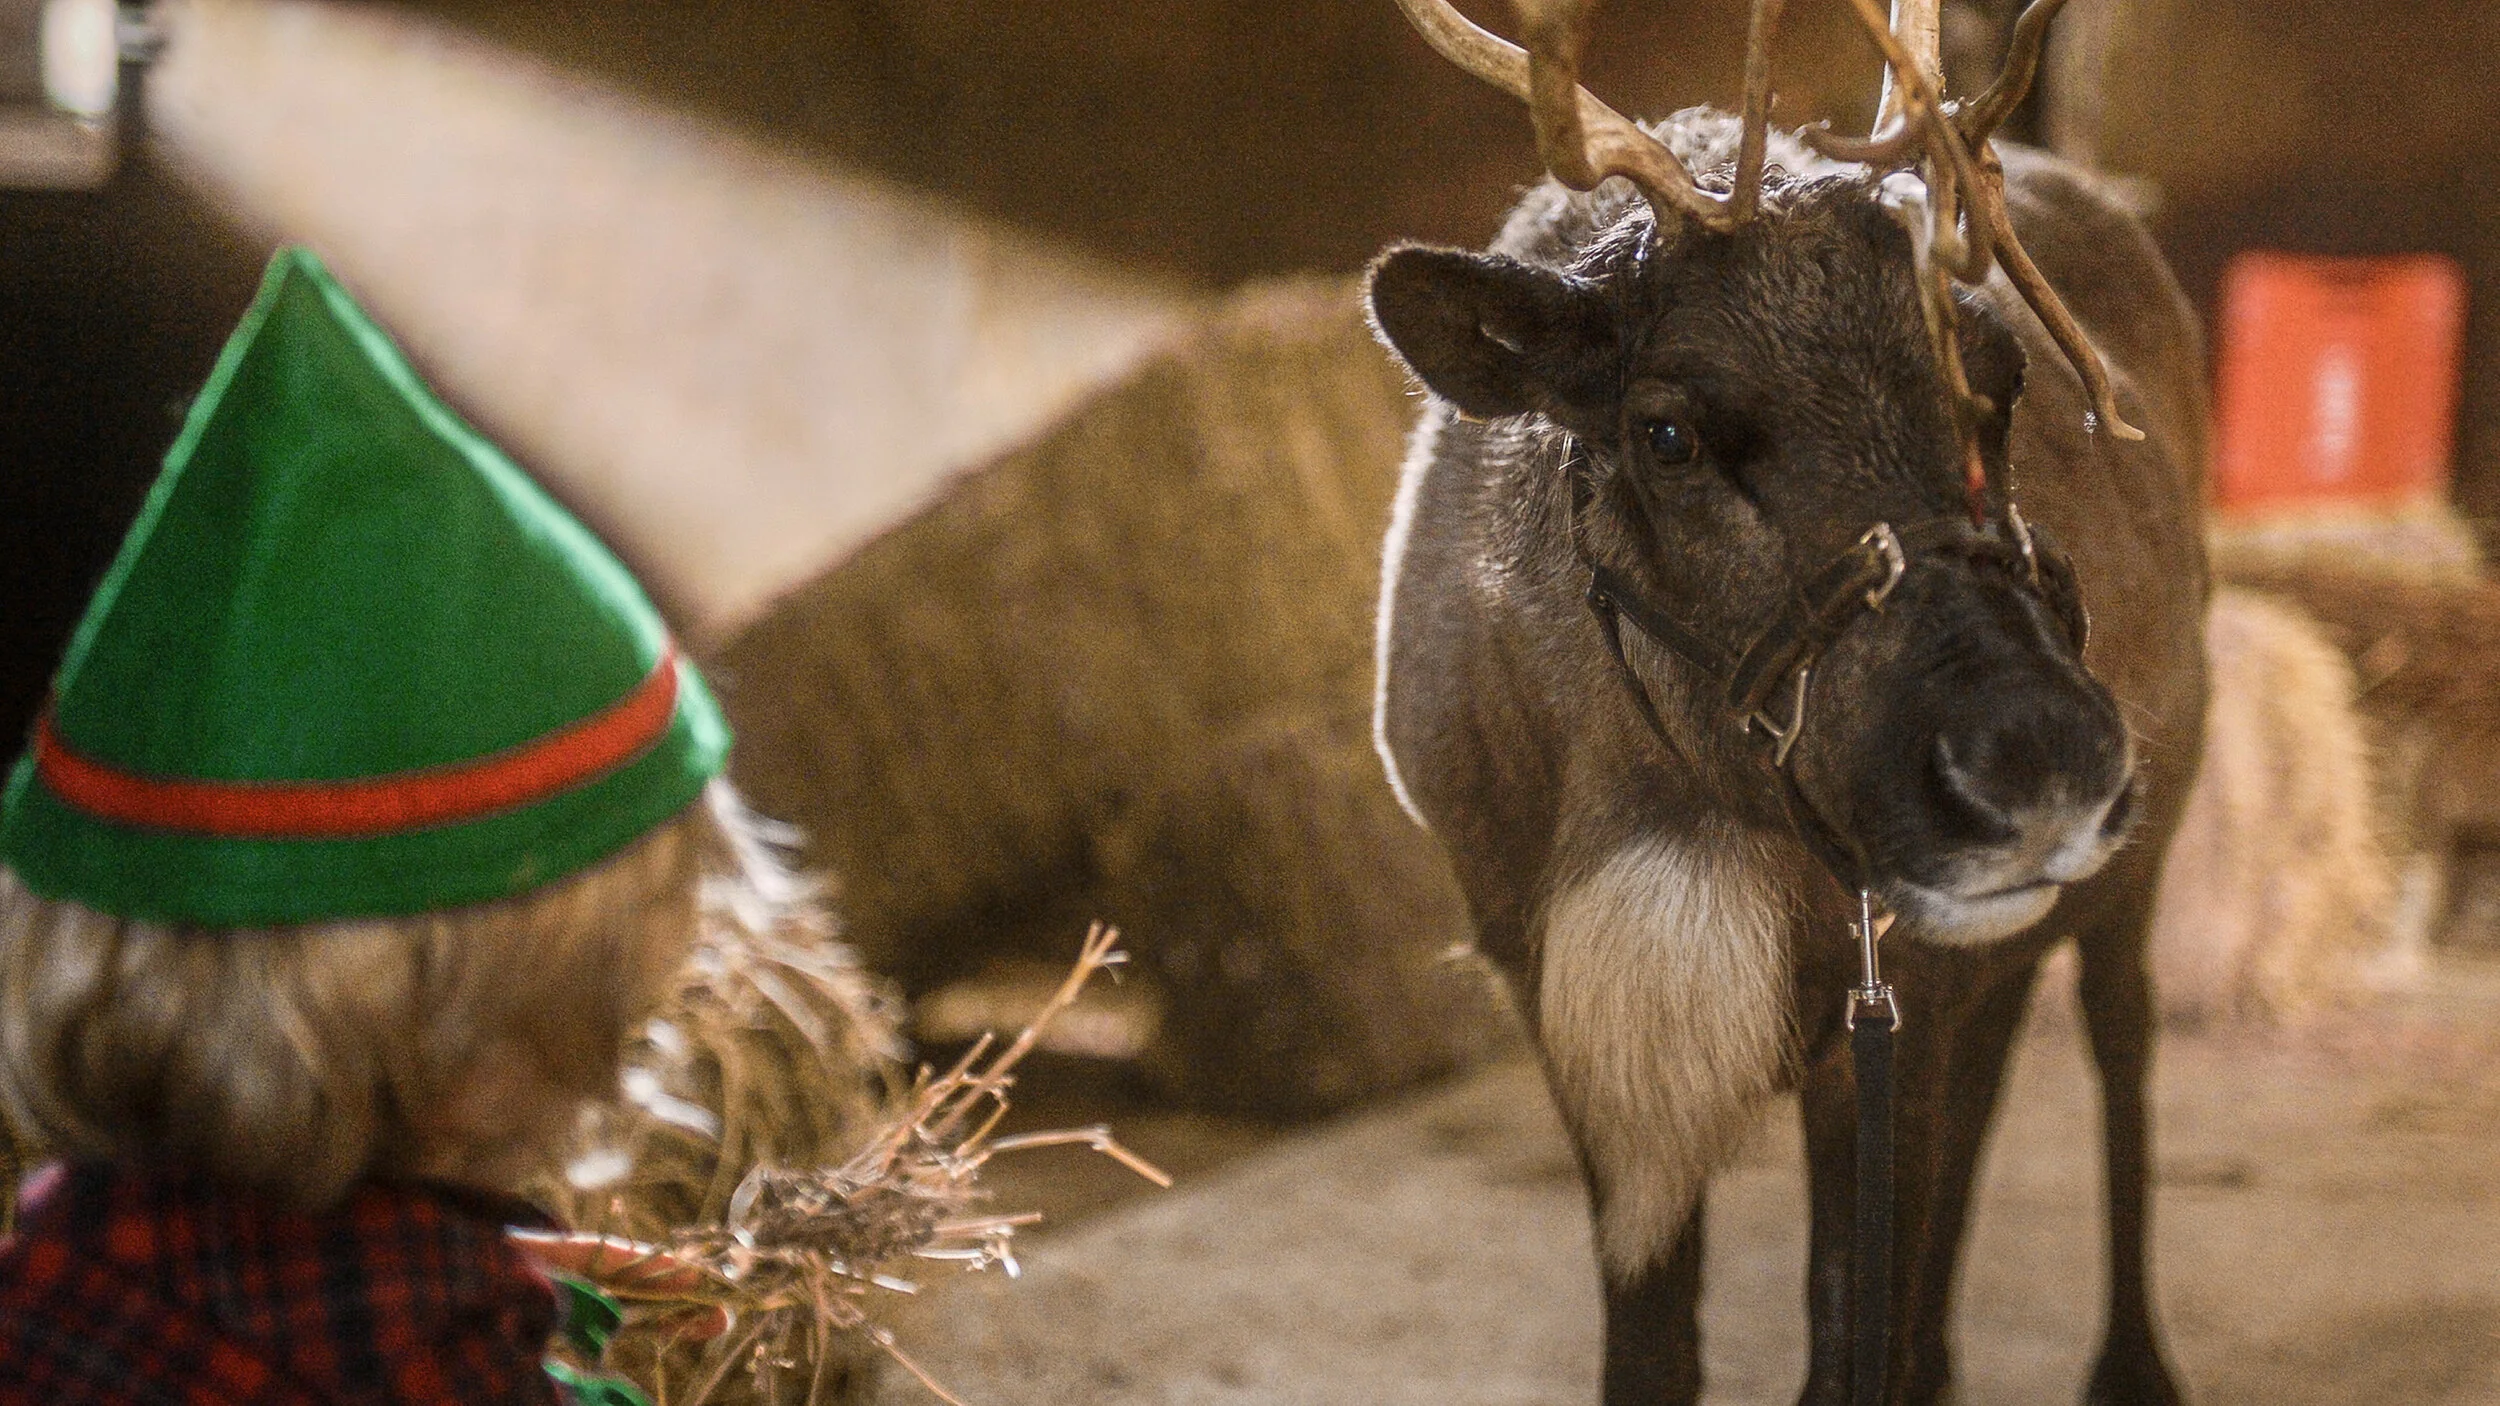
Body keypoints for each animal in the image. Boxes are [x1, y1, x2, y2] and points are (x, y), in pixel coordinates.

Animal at [1363, 0, 2207, 1402]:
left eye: (2000, 375)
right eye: (1665, 433)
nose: (2039, 764)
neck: (1662, 804)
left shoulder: (1886, 995)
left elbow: (1847, 1335)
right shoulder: (1564, 1002)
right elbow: (1659, 1350)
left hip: (2148, 845)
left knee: (2122, 1043)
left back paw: (2132, 1363)